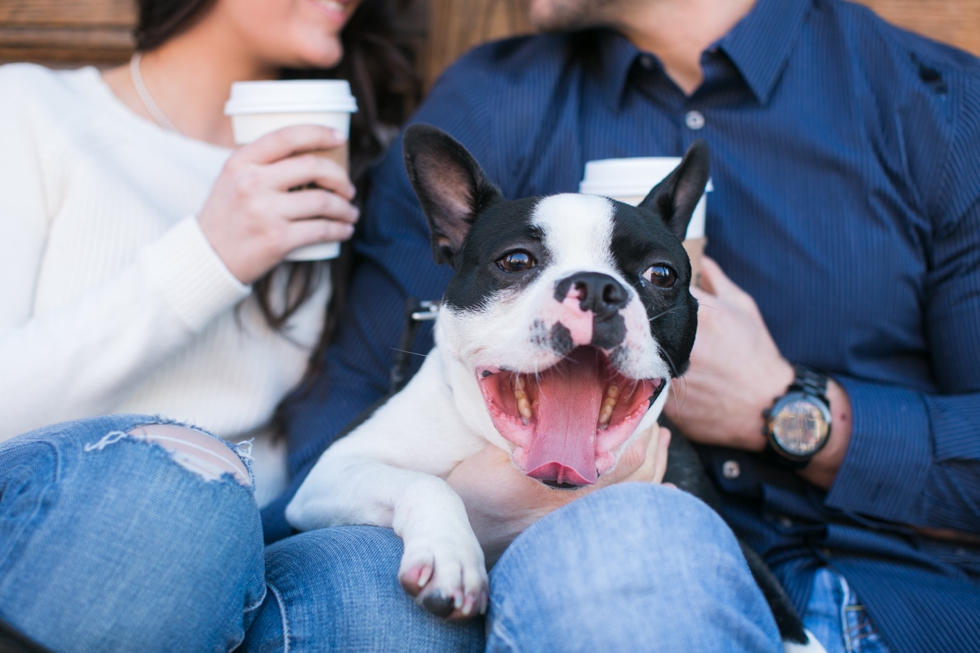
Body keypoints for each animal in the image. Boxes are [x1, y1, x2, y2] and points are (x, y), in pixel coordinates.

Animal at [290, 125, 820, 648]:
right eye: (515, 261)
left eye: (661, 274)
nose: (598, 287)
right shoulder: (328, 474)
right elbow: (426, 482)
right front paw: (451, 556)